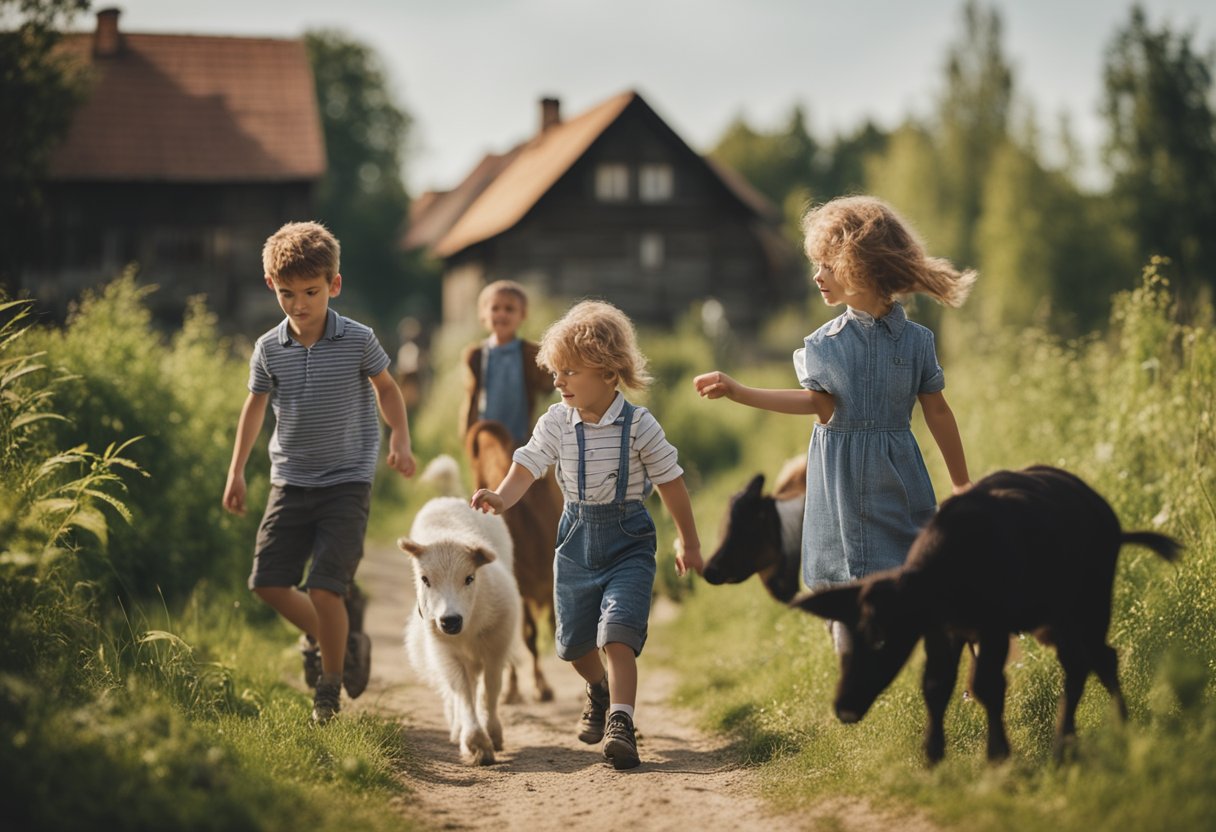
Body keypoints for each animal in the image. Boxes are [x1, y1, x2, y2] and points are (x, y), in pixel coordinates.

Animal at [393, 496, 518, 763]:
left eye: (469, 578)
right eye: (424, 579)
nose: (450, 620)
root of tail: (447, 500)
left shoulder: (498, 643)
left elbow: (491, 688)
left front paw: (493, 734)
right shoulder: (443, 649)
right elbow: (462, 690)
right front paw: (476, 742)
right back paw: (458, 730)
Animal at [792, 464, 1181, 763]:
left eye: (880, 637)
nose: (844, 707)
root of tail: (1109, 519)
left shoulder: (993, 627)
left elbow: (986, 685)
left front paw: (998, 756)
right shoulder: (943, 633)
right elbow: (935, 686)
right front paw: (932, 756)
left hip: (1090, 606)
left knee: (1095, 661)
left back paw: (1097, 733)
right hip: (1058, 620)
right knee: (1087, 661)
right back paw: (1082, 738)